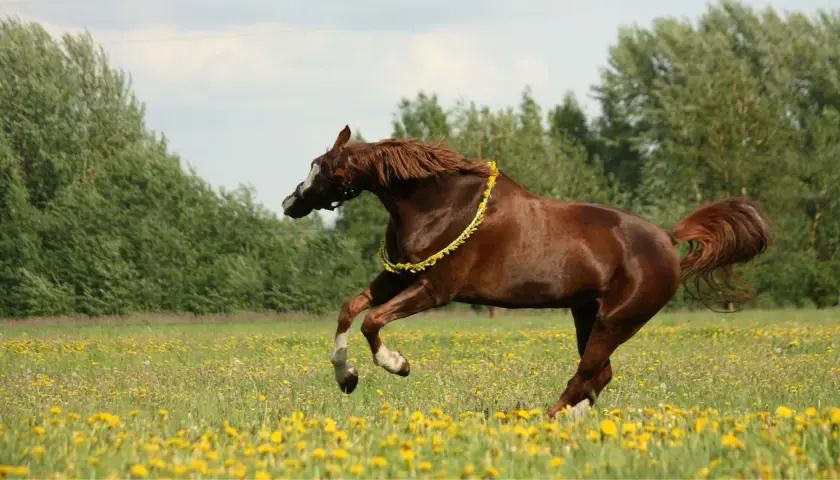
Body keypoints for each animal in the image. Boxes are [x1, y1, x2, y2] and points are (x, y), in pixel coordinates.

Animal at [281, 125, 772, 418]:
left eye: (323, 169)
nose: (290, 203)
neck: (441, 205)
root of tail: (667, 240)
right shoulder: (398, 277)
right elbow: (350, 309)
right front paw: (346, 377)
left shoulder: (434, 288)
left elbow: (373, 321)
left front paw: (396, 365)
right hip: (587, 313)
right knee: (598, 376)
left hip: (618, 319)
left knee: (586, 375)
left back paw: (547, 422)